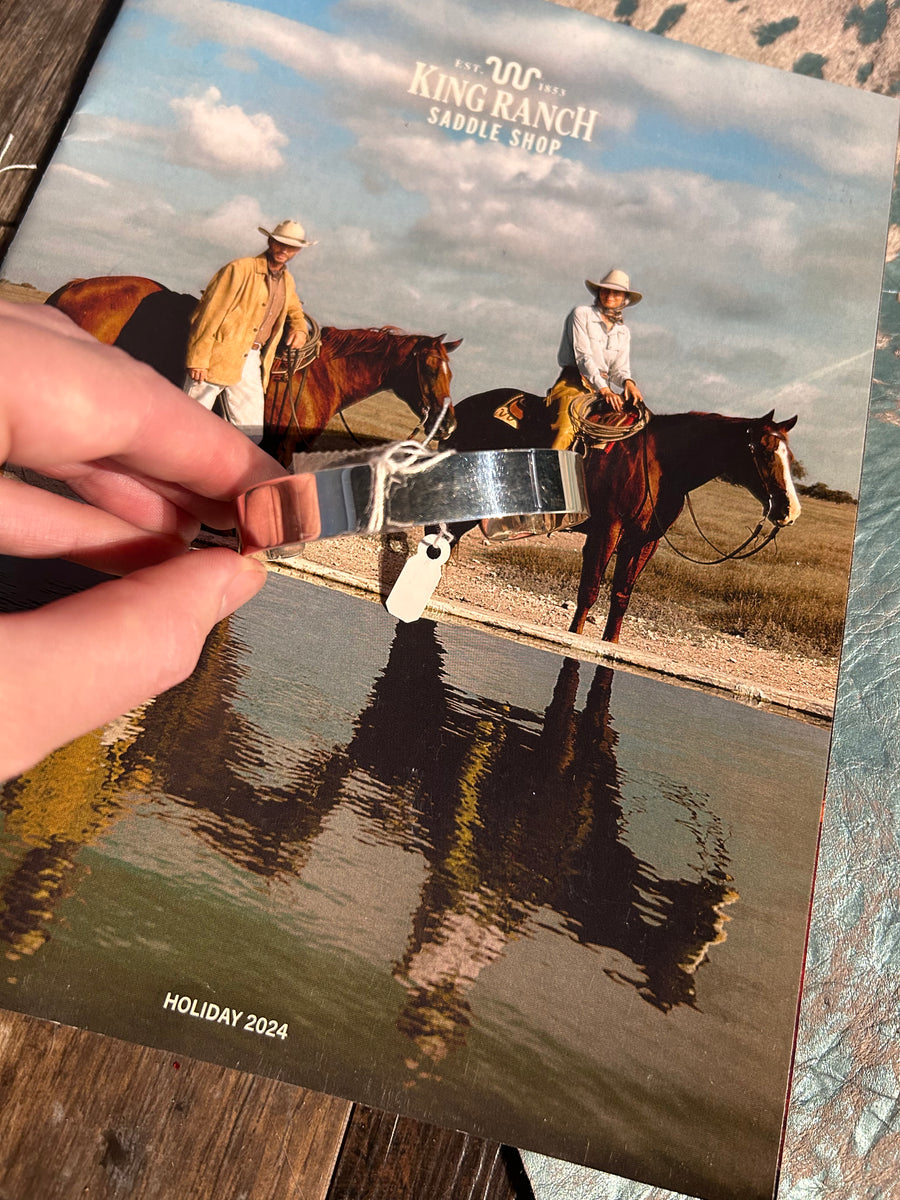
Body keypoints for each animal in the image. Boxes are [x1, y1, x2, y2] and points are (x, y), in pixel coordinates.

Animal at [45, 276, 460, 463]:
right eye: (429, 367)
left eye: (450, 372)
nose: (448, 425)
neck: (323, 374)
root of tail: (77, 286)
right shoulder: (285, 448)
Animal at [441, 388, 801, 643]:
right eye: (766, 451)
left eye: (790, 455)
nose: (790, 510)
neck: (661, 464)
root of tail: (466, 406)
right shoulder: (607, 528)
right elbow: (590, 589)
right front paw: (575, 637)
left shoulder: (645, 540)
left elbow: (621, 595)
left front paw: (610, 643)